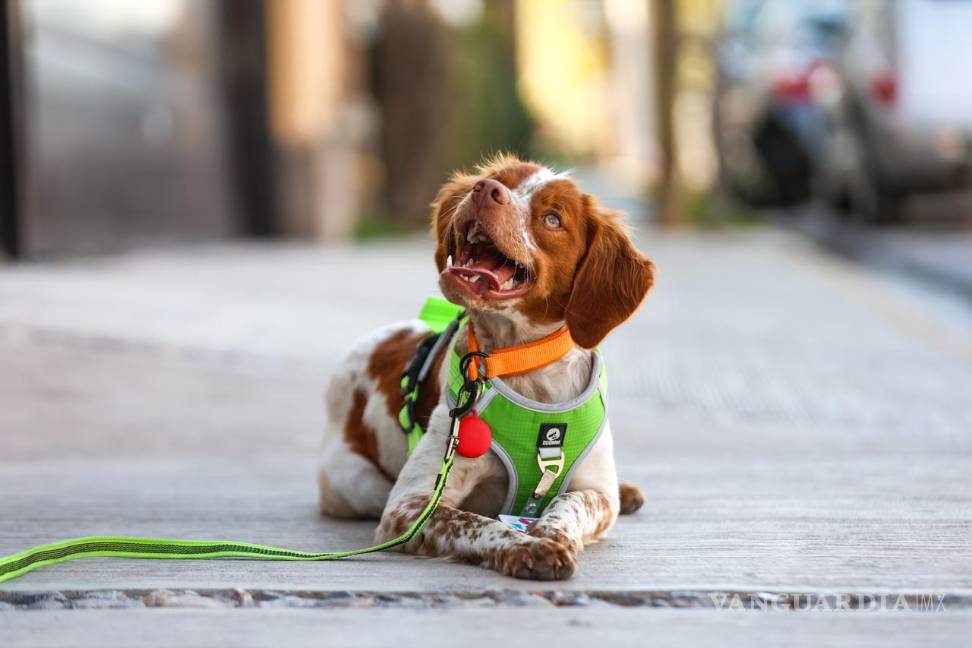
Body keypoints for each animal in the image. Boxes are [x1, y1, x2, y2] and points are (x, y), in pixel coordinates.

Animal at [318, 154, 652, 580]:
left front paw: (551, 533)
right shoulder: (408, 507)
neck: (524, 364)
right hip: (353, 482)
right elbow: (478, 523)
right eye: (498, 180)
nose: (485, 190)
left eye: (552, 218)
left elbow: (569, 503)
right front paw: (529, 547)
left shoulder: (597, 494)